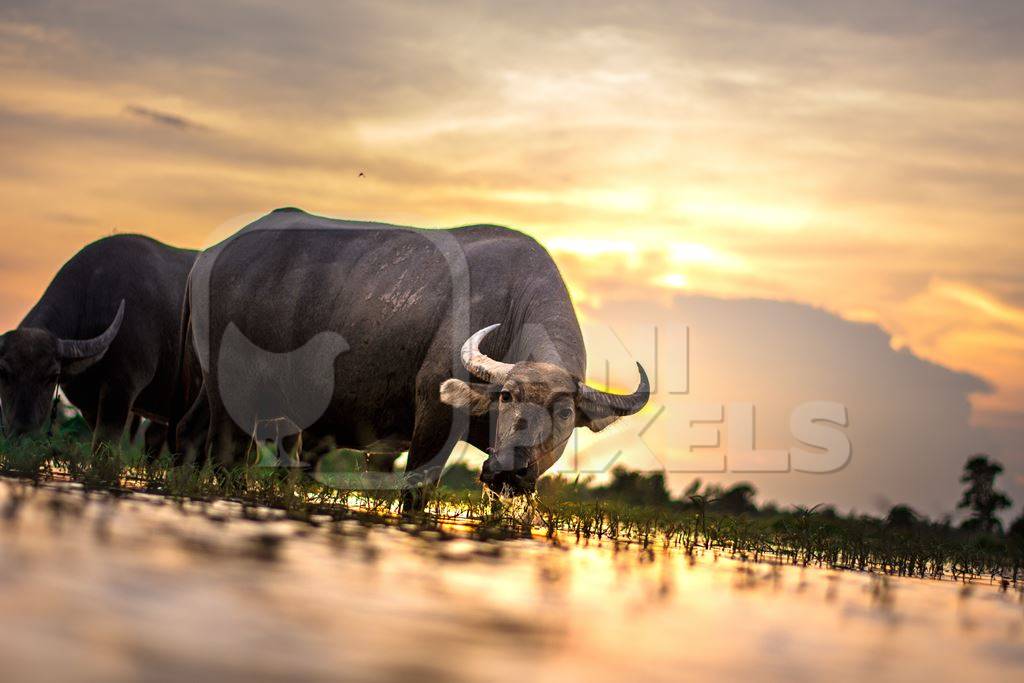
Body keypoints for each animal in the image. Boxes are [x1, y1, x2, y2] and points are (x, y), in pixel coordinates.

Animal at [0, 235, 197, 454]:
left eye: (51, 376)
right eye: (4, 373)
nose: (21, 433)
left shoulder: (122, 389)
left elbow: (103, 448)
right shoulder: (87, 404)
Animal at [176, 210, 647, 505]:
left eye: (565, 412)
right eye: (506, 396)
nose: (508, 469)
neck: (511, 308)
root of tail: (208, 257)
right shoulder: (432, 418)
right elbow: (415, 491)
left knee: (192, 435)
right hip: (230, 398)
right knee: (227, 455)